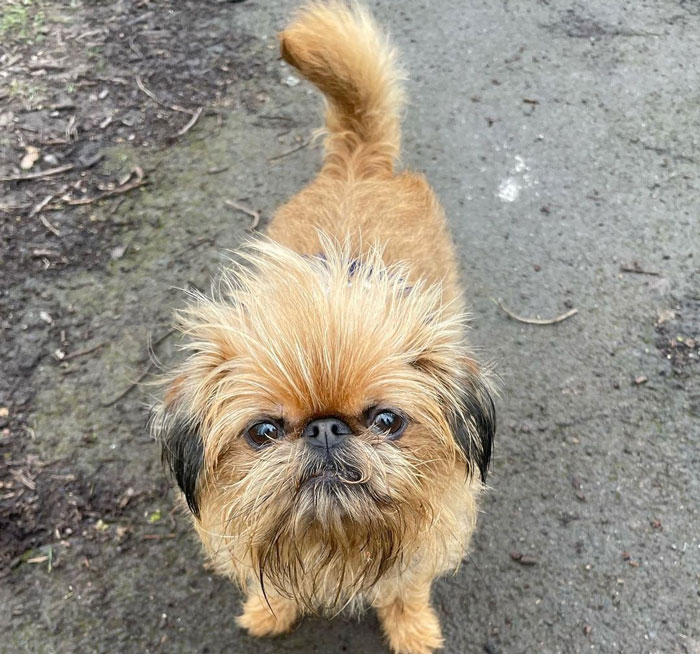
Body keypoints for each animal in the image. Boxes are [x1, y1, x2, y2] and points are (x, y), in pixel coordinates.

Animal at [150, 2, 494, 652]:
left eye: (387, 421)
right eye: (262, 432)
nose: (326, 429)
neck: (332, 539)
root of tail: (359, 164)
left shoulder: (420, 541)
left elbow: (405, 586)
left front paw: (413, 630)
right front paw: (271, 610)